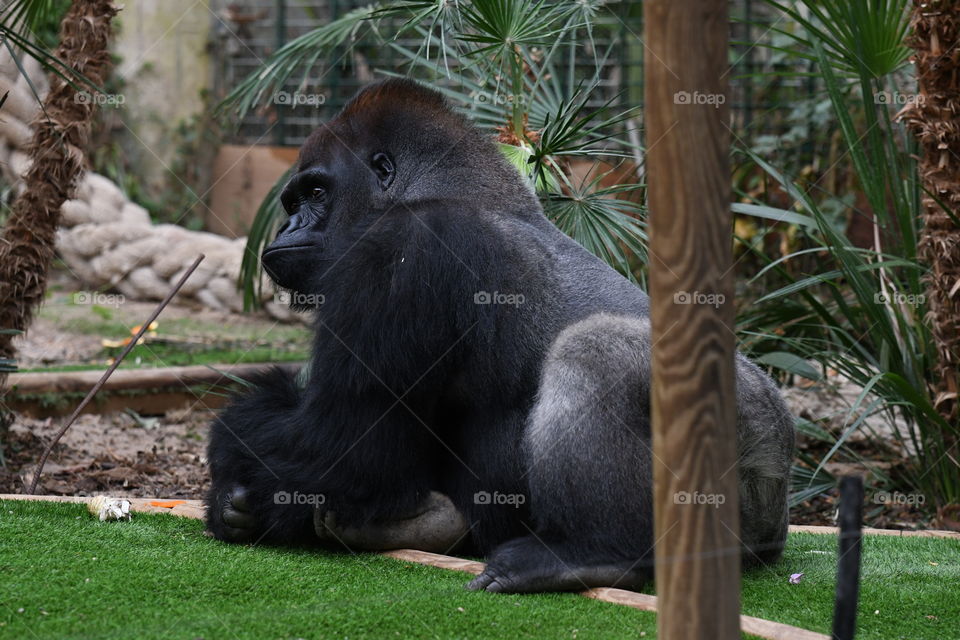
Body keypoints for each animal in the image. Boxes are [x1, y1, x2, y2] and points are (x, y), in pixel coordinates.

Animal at [204, 79, 796, 596]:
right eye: (293, 201)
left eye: (316, 191)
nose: (287, 229)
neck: (449, 188)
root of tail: (778, 521)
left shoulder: (407, 246)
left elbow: (340, 444)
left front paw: (237, 468)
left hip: (745, 481)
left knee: (594, 350)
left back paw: (597, 555)